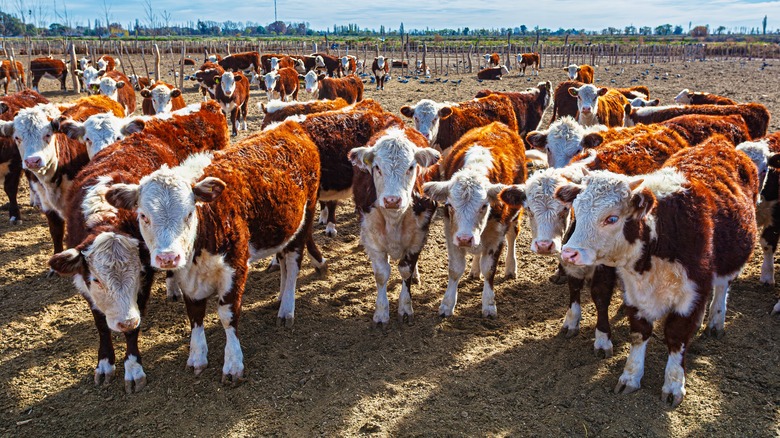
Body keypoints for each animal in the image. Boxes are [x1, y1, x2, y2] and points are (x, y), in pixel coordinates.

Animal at [48, 101, 230, 392]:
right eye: (97, 280)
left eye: (138, 274)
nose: (125, 321)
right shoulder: (84, 283)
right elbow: (101, 324)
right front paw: (105, 364)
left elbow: (134, 331)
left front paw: (133, 369)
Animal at [104, 120, 325, 382]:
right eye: (143, 216)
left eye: (189, 213)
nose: (167, 257)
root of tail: (288, 125)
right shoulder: (186, 276)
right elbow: (195, 314)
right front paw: (197, 357)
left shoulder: (236, 266)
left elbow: (228, 315)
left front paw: (233, 363)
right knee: (282, 260)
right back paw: (281, 296)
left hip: (305, 217)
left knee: (292, 264)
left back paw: (287, 308)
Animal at [349, 126, 440, 325]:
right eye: (377, 167)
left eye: (411, 167)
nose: (392, 200)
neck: (394, 219)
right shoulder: (372, 236)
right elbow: (382, 273)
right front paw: (381, 313)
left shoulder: (418, 236)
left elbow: (406, 270)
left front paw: (405, 308)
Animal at [423, 122, 526, 318]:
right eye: (450, 205)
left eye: (484, 206)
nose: (465, 239)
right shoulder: (451, 232)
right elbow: (455, 269)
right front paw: (447, 304)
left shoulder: (497, 234)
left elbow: (489, 270)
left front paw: (489, 304)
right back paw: (474, 270)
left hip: (514, 215)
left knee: (512, 236)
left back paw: (511, 267)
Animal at [555, 137, 757, 407]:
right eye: (576, 208)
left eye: (612, 218)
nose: (569, 253)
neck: (660, 237)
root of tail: (717, 143)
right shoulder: (634, 292)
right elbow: (639, 332)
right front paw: (630, 376)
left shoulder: (692, 294)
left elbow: (676, 336)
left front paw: (673, 385)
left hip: (731, 258)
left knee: (723, 286)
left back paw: (716, 320)